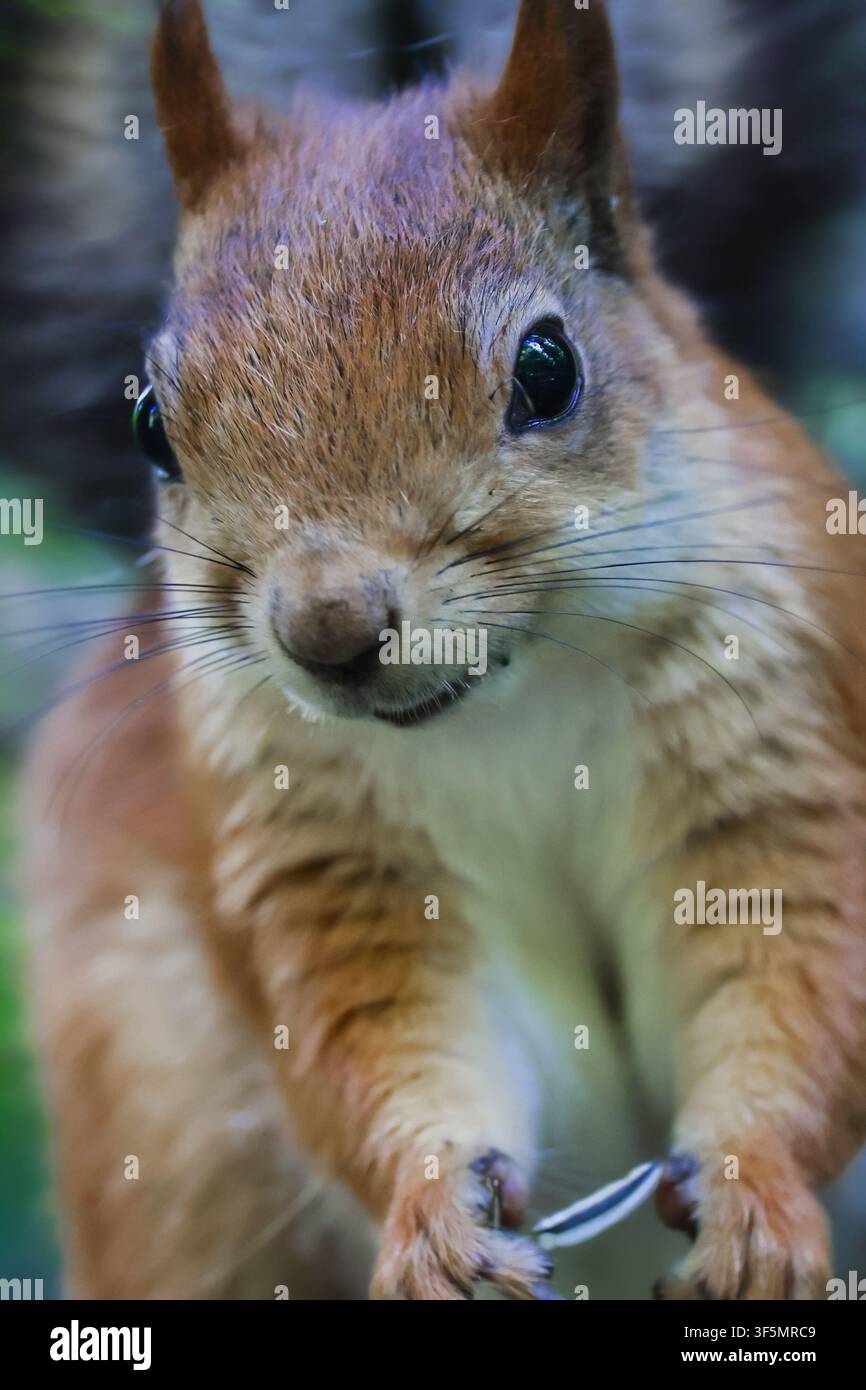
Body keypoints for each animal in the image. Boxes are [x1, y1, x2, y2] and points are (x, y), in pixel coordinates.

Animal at [21, 0, 866, 1299]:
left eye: (546, 369)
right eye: (150, 425)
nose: (326, 628)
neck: (512, 697)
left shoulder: (776, 760)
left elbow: (794, 973)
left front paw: (753, 1190)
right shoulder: (326, 862)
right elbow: (386, 1036)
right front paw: (432, 1211)